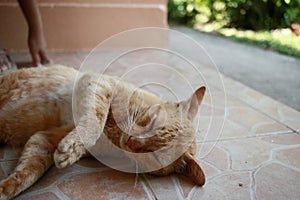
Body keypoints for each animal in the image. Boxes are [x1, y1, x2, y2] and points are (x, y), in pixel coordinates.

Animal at [0, 65, 206, 198]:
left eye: (153, 155)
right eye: (153, 122)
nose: (130, 141)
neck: (114, 132)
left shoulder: (46, 137)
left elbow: (30, 169)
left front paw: (7, 188)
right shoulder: (98, 82)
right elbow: (96, 119)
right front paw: (73, 145)